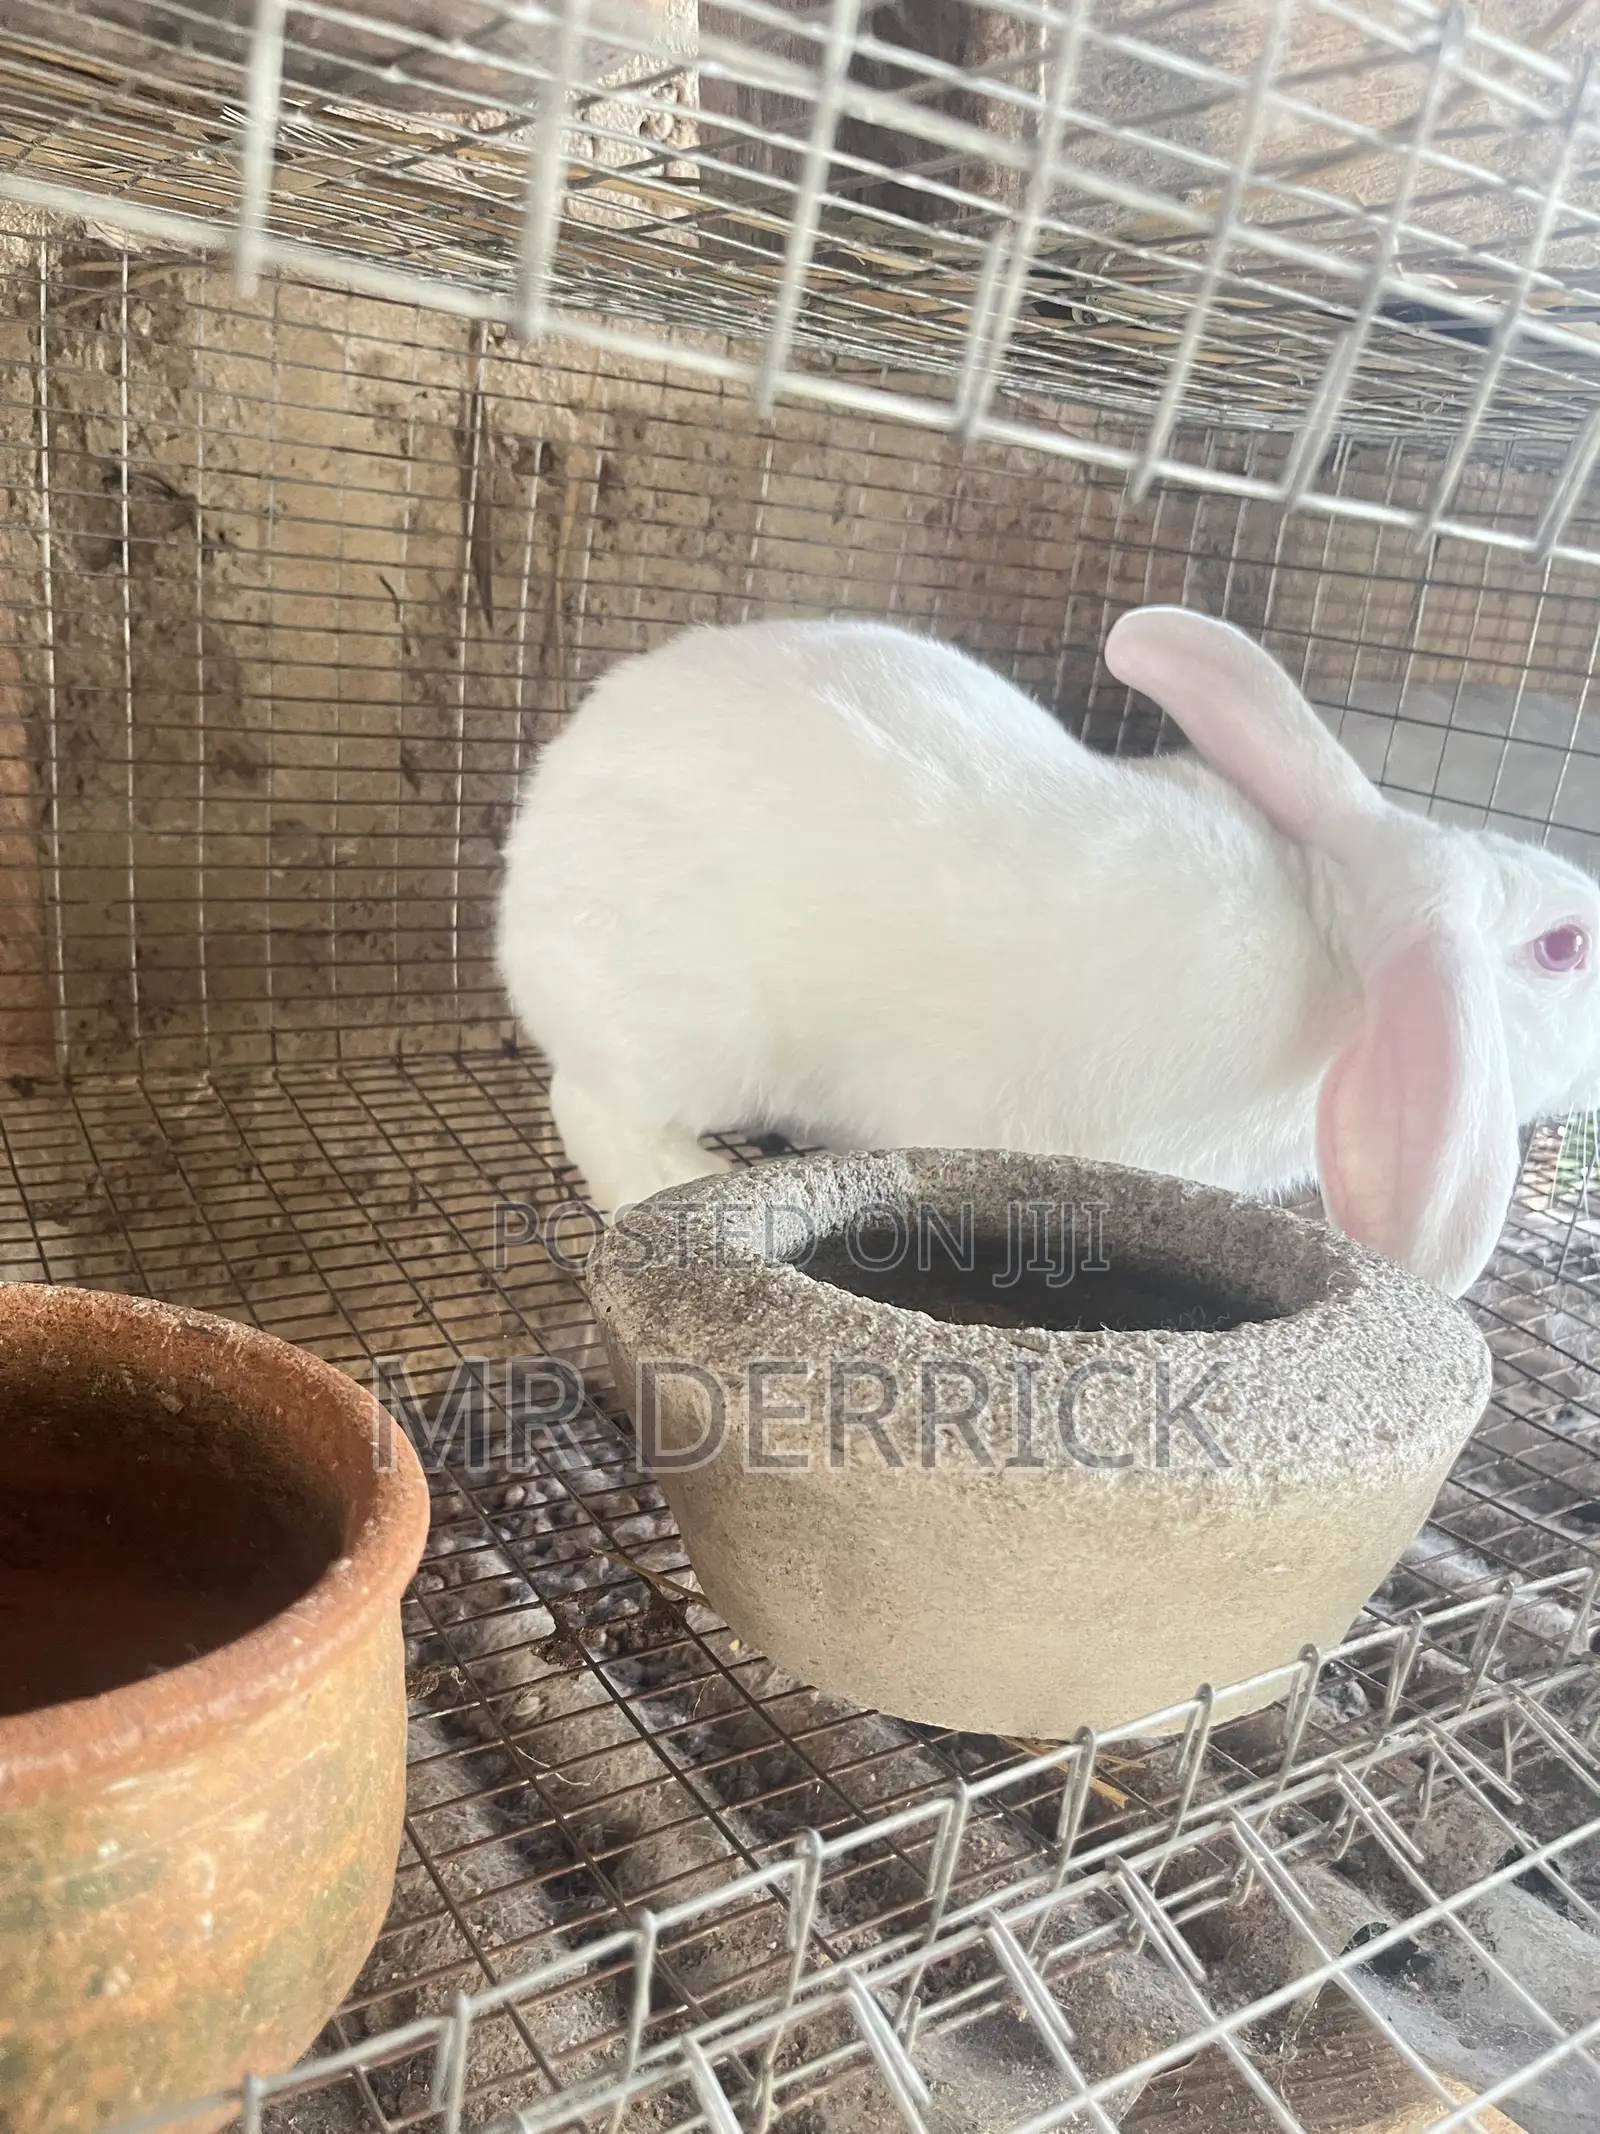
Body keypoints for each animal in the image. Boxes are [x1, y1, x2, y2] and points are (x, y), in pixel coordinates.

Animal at [494, 606, 1600, 1296]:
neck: (1334, 945)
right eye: (1564, 946)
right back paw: (668, 1172)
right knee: (593, 1107)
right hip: (683, 1024)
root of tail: (542, 816)